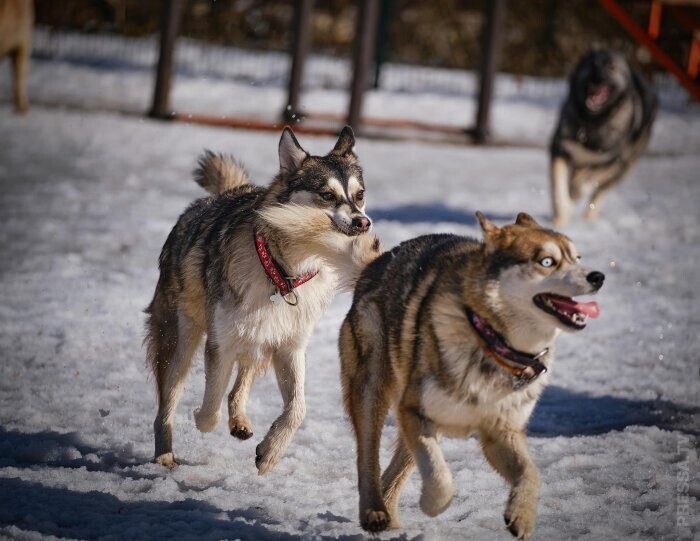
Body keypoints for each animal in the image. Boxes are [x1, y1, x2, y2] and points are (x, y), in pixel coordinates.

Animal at [144, 125, 380, 472]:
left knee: (240, 385)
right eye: (327, 195)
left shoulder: (289, 347)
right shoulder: (221, 342)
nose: (363, 222)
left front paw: (269, 452)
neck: (282, 272)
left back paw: (240, 421)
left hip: (261, 341)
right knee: (167, 402)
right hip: (180, 341)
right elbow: (211, 403)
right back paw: (164, 455)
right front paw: (201, 419)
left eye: (359, 195)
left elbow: (298, 408)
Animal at [340, 211, 600, 536]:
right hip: (373, 389)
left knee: (394, 471)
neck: (491, 341)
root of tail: (376, 263)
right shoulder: (415, 412)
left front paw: (522, 516)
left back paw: (390, 518)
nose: (598, 277)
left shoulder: (500, 432)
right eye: (547, 261)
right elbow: (440, 477)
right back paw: (374, 512)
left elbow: (530, 473)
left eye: (577, 258)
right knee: (368, 459)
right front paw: (432, 505)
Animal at [548, 49, 660, 226]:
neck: (593, 121)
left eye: (612, 68)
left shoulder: (610, 160)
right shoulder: (560, 149)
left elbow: (586, 178)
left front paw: (576, 191)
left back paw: (588, 219)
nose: (597, 79)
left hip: (622, 167)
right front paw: (560, 216)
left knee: (599, 192)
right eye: (593, 64)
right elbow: (558, 187)